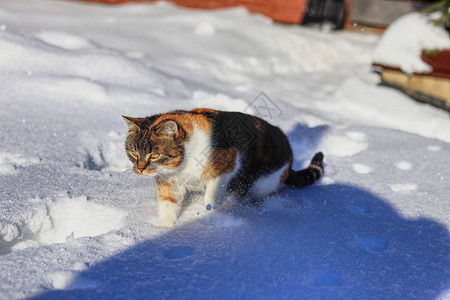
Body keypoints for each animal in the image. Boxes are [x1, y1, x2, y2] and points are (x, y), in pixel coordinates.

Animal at [124, 108, 324, 227]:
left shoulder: (226, 168)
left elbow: (210, 199)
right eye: (133, 152)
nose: (139, 169)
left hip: (263, 184)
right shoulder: (169, 181)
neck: (182, 165)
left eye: (154, 155)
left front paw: (212, 219)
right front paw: (163, 228)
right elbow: (168, 203)